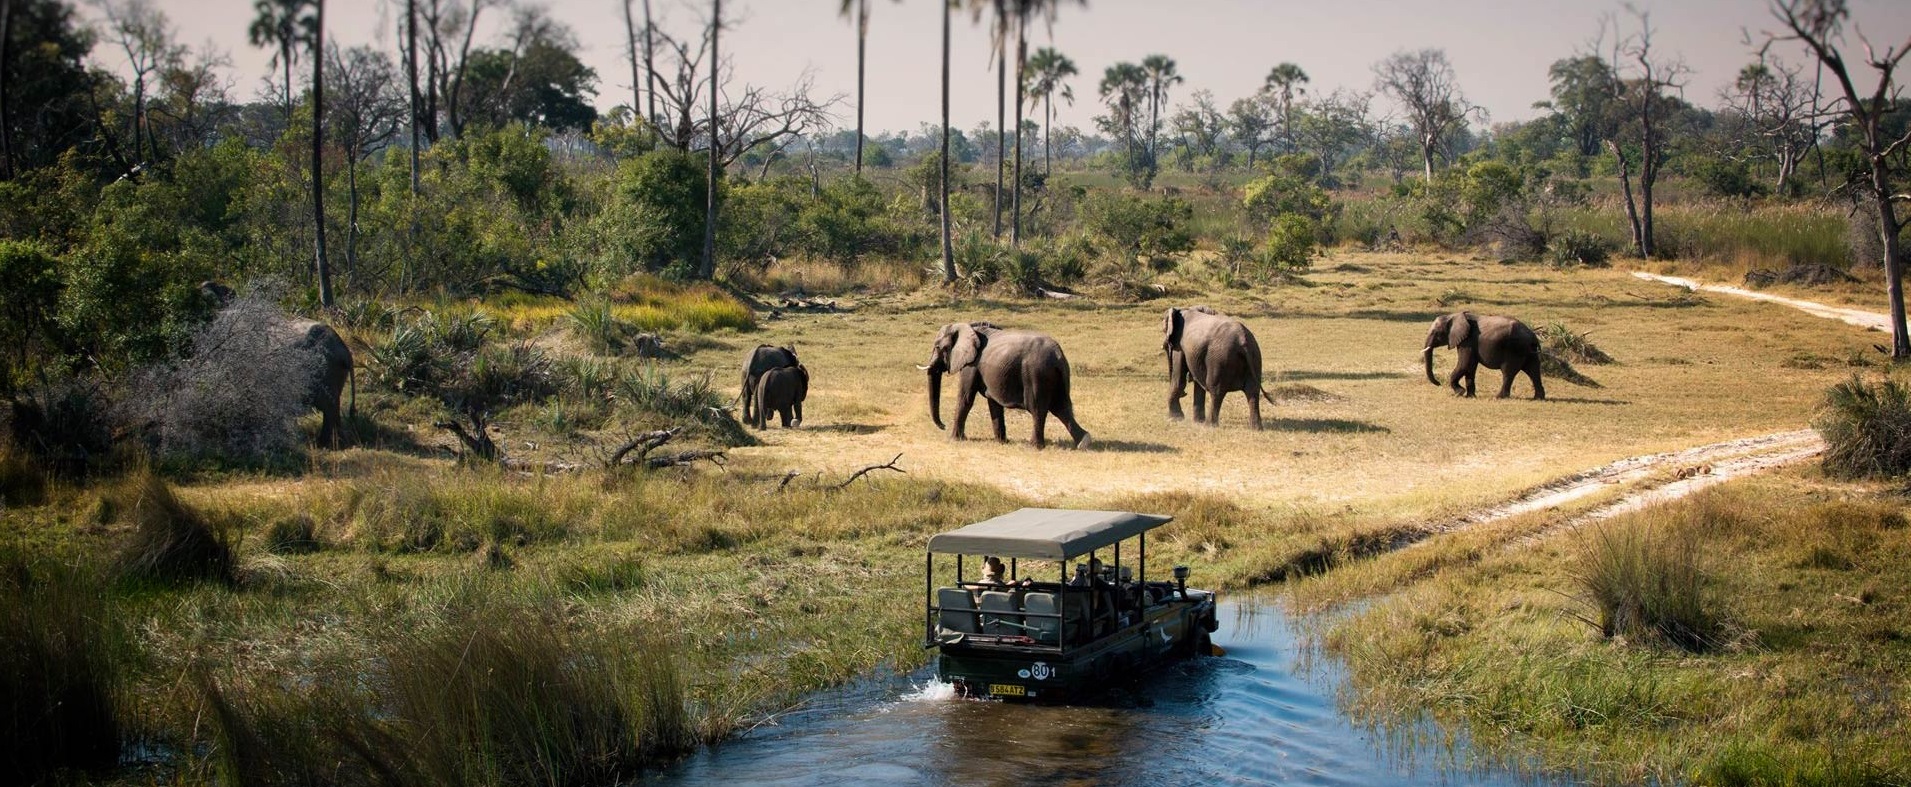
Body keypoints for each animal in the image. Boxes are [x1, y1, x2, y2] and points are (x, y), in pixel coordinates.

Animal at [921, 320, 1093, 448]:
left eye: (938, 347)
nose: (943, 425)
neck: (969, 326)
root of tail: (1058, 355)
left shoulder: (971, 365)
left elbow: (965, 399)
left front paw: (954, 440)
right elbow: (994, 403)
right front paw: (1001, 442)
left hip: (1036, 374)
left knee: (1038, 409)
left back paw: (1032, 446)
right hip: (1059, 375)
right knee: (1062, 408)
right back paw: (1083, 443)